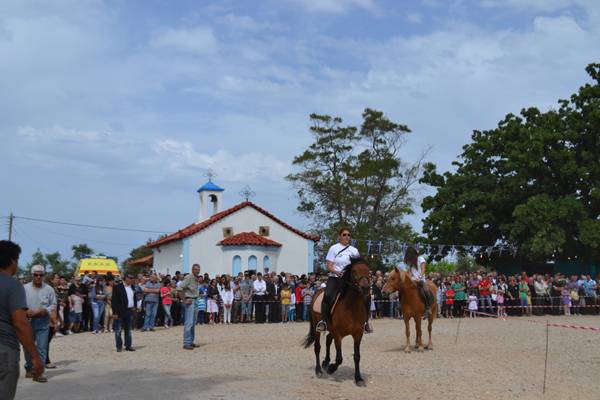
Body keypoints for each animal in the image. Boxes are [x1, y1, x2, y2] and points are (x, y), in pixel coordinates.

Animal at [304, 258, 370, 386]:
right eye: (354, 271)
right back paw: (319, 370)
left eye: (368, 270)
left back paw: (325, 362)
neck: (351, 307)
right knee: (317, 347)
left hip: (331, 330)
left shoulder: (358, 334)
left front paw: (358, 378)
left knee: (328, 340)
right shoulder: (338, 334)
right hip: (317, 327)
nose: (365, 288)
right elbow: (339, 358)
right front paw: (331, 369)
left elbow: (357, 356)